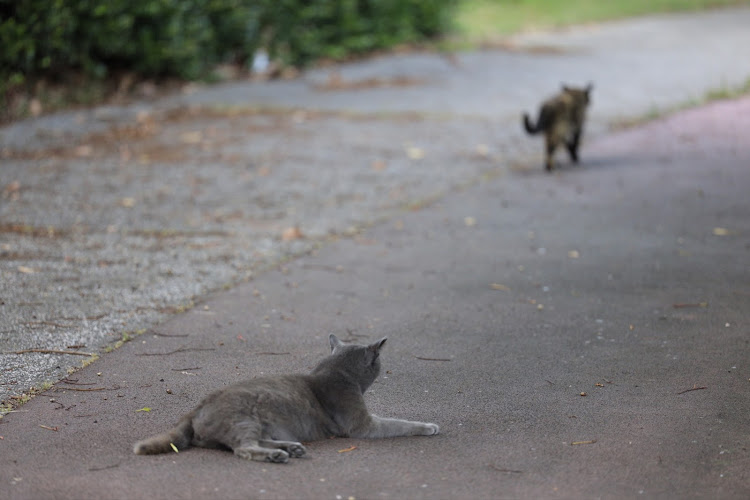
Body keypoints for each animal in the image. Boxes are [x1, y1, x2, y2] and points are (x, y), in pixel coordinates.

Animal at [134, 334, 440, 462]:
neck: (337, 370)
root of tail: (192, 411)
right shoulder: (362, 425)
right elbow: (398, 423)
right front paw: (429, 426)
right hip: (243, 418)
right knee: (243, 448)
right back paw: (277, 455)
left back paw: (291, 448)